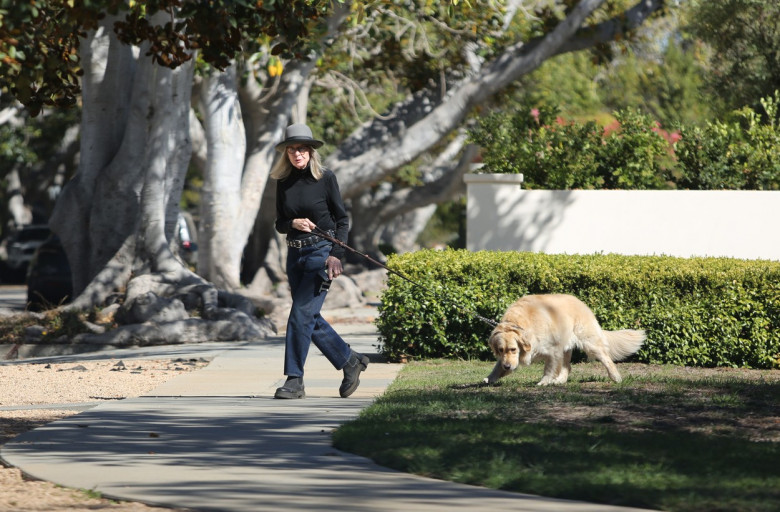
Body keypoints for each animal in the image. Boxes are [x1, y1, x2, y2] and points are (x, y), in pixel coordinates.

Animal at [482, 294, 644, 386]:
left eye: (513, 349)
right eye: (500, 350)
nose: (507, 366)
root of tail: (581, 302)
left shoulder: (553, 349)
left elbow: (549, 368)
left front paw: (544, 382)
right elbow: (497, 367)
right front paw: (490, 378)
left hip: (589, 343)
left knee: (606, 358)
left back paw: (616, 377)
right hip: (566, 346)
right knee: (568, 366)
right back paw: (560, 380)